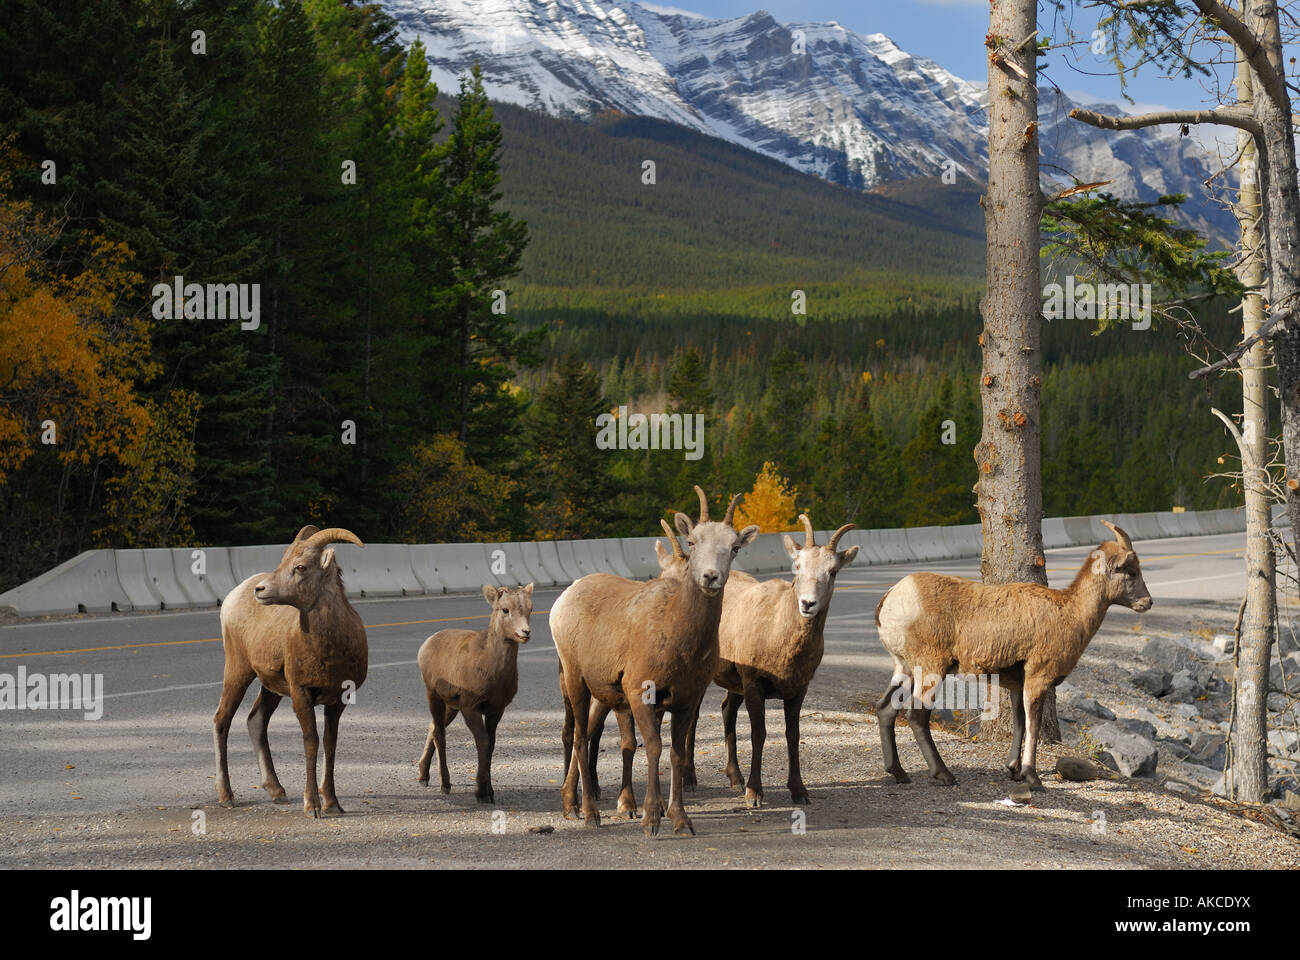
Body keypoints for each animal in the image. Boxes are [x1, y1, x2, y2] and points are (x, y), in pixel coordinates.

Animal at [213, 525, 367, 817]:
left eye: (301, 566)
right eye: (282, 561)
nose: (261, 590)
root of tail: (233, 596)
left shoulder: (338, 700)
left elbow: (330, 743)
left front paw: (332, 803)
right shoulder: (301, 693)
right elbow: (311, 741)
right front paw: (313, 806)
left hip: (270, 686)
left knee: (256, 720)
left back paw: (277, 791)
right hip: (238, 670)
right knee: (222, 720)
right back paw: (226, 796)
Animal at [416, 583, 534, 803]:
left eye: (530, 608)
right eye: (505, 609)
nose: (525, 632)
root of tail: (426, 644)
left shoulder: (496, 709)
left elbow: (491, 744)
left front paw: (490, 792)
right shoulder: (470, 706)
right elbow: (482, 741)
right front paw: (481, 793)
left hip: (451, 706)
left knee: (433, 727)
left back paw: (423, 777)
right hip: (433, 696)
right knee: (439, 733)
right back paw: (445, 784)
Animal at [550, 486, 758, 835]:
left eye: (734, 547)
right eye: (692, 541)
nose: (710, 577)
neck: (678, 637)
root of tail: (564, 598)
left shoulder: (685, 699)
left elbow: (675, 753)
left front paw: (680, 819)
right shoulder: (640, 693)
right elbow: (652, 746)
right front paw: (650, 818)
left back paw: (573, 806)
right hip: (576, 681)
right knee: (579, 737)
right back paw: (588, 813)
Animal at [703, 515, 859, 807]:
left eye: (833, 572)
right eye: (797, 567)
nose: (808, 604)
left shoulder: (798, 690)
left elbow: (792, 735)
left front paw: (799, 791)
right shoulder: (754, 685)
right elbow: (759, 734)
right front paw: (754, 794)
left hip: (734, 685)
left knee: (727, 710)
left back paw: (735, 778)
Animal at [873, 520, 1152, 790]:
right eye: (1131, 571)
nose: (1147, 603)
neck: (1070, 613)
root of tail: (888, 601)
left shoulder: (1017, 683)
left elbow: (1019, 722)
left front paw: (1013, 770)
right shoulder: (1038, 677)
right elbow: (1032, 724)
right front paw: (1032, 778)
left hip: (905, 669)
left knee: (886, 709)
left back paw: (899, 773)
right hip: (931, 667)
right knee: (917, 716)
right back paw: (944, 775)